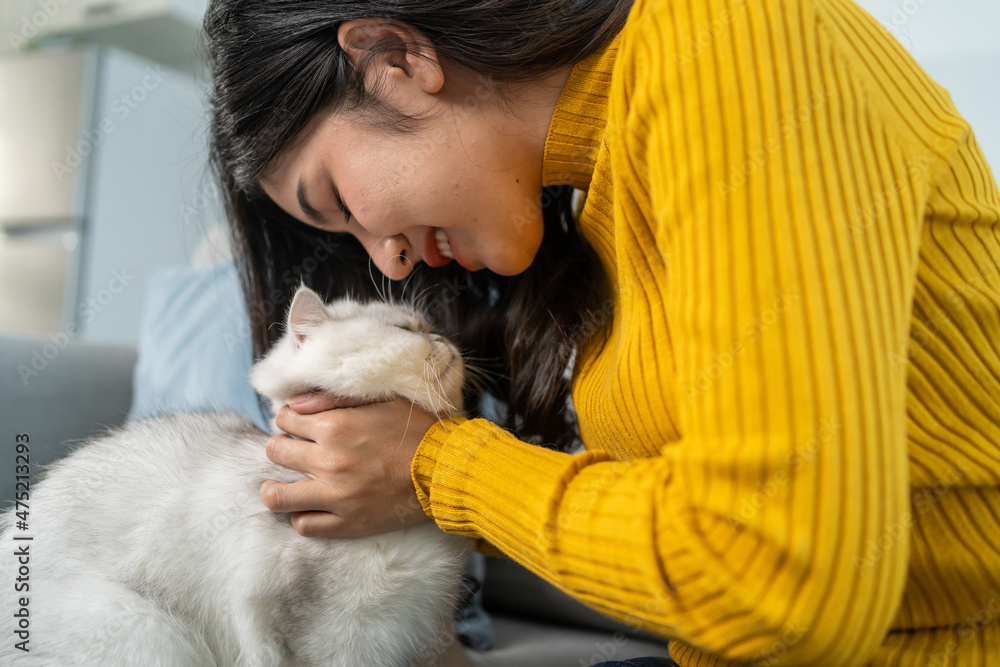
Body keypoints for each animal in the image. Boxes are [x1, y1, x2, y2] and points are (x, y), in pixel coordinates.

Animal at [0, 288, 472, 667]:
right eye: (406, 328)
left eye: (430, 325)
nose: (444, 336)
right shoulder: (320, 633)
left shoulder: (421, 633)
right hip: (150, 631)